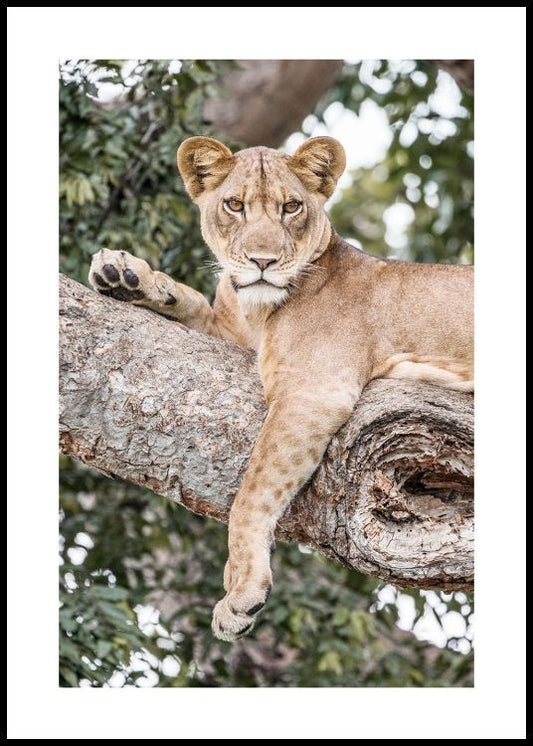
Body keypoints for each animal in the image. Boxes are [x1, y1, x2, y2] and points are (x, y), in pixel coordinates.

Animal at [89, 136, 473, 641]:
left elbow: (252, 492)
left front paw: (241, 588)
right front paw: (125, 275)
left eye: (291, 207)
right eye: (234, 205)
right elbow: (192, 302)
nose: (262, 262)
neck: (257, 309)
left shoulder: (313, 390)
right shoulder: (233, 336)